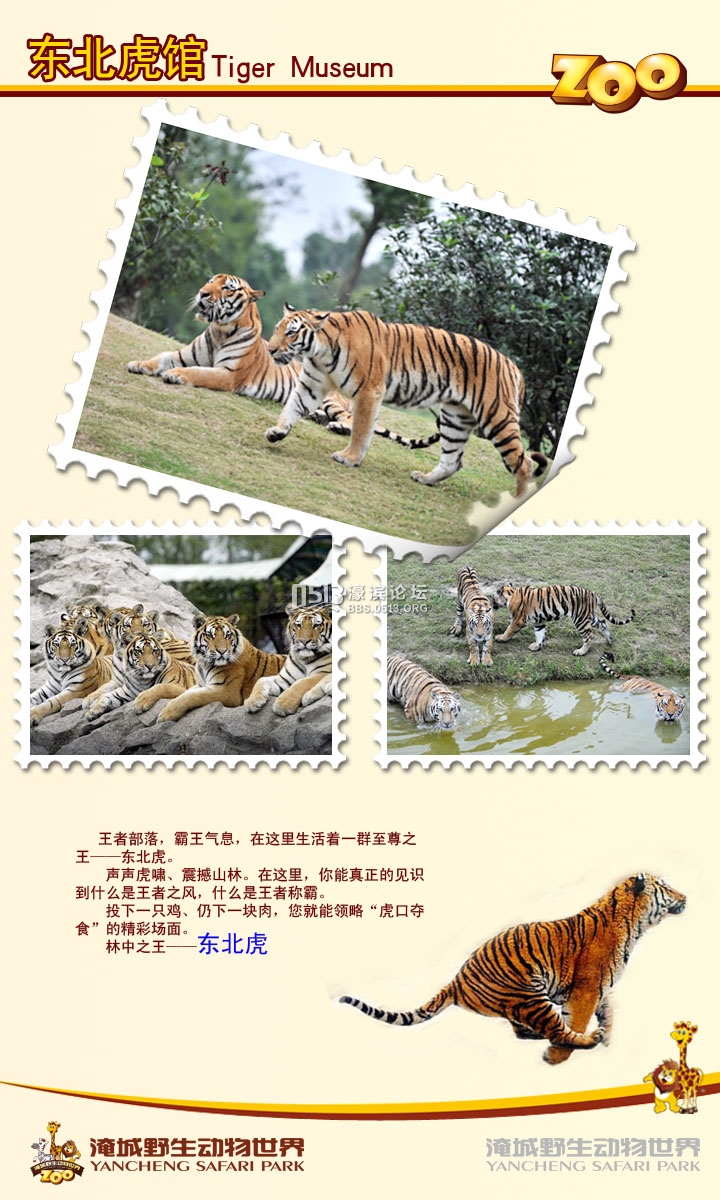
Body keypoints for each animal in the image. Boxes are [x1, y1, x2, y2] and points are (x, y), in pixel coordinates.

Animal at [127, 276, 439, 449]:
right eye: (210, 281)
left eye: (226, 288)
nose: (202, 293)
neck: (219, 330)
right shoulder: (183, 354)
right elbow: (161, 357)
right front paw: (138, 364)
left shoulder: (228, 375)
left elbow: (197, 372)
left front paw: (175, 375)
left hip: (332, 399)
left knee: (353, 421)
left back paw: (337, 426)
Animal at [157, 613, 286, 722]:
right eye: (210, 635)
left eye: (227, 635)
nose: (222, 651)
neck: (204, 663)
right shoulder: (201, 685)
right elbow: (185, 693)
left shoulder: (226, 691)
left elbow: (192, 696)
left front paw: (166, 714)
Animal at [264, 306, 549, 496]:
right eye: (277, 329)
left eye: (291, 333)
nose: (270, 349)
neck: (318, 351)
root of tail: (515, 368)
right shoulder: (311, 385)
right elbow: (292, 408)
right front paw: (277, 432)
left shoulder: (369, 391)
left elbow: (361, 430)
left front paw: (350, 458)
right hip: (455, 418)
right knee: (453, 461)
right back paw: (425, 478)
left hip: (496, 418)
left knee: (523, 463)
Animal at [339, 873, 686, 1065]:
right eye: (667, 887)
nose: (685, 895)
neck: (635, 925)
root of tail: (456, 980)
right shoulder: (586, 990)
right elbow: (578, 1021)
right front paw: (558, 1058)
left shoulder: (599, 990)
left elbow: (609, 1012)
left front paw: (611, 1040)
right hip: (529, 994)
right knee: (554, 1029)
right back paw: (581, 1040)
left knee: (522, 1029)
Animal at [493, 583, 636, 656]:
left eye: (493, 597)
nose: (492, 605)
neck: (510, 594)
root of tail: (593, 593)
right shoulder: (539, 621)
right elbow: (539, 634)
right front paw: (537, 646)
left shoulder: (518, 620)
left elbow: (509, 630)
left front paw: (501, 638)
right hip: (590, 617)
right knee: (603, 623)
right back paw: (610, 640)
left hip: (580, 619)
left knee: (589, 636)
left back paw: (581, 652)